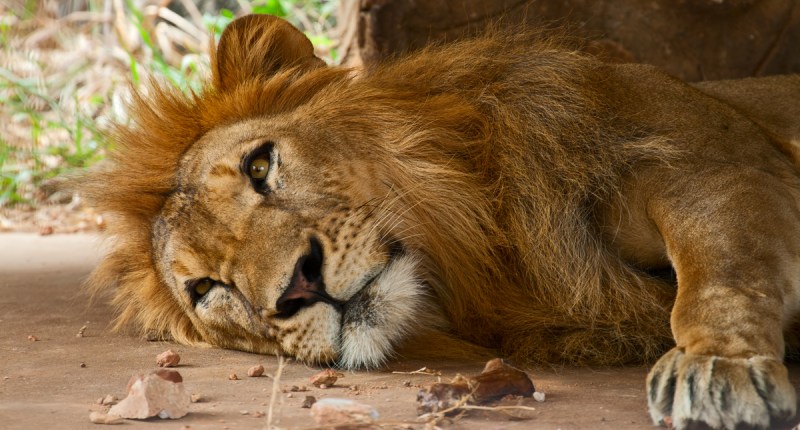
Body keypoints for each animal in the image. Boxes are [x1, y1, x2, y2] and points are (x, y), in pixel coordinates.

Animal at [81, 14, 800, 430]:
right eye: (207, 289)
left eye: (260, 167)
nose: (297, 287)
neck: (497, 246)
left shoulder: (707, 161)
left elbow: (721, 271)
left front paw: (719, 365)